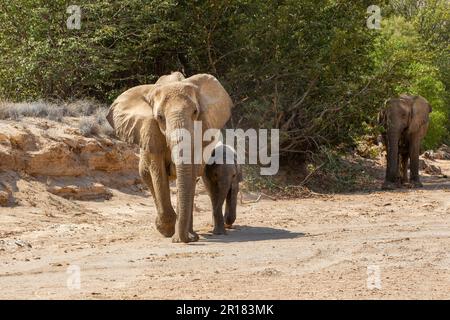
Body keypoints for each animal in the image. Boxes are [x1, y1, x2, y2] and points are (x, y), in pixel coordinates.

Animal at [105, 73, 232, 242]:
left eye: (195, 112)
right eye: (159, 117)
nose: (185, 240)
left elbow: (189, 174)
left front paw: (180, 236)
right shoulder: (150, 131)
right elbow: (158, 173)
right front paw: (167, 230)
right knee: (148, 177)